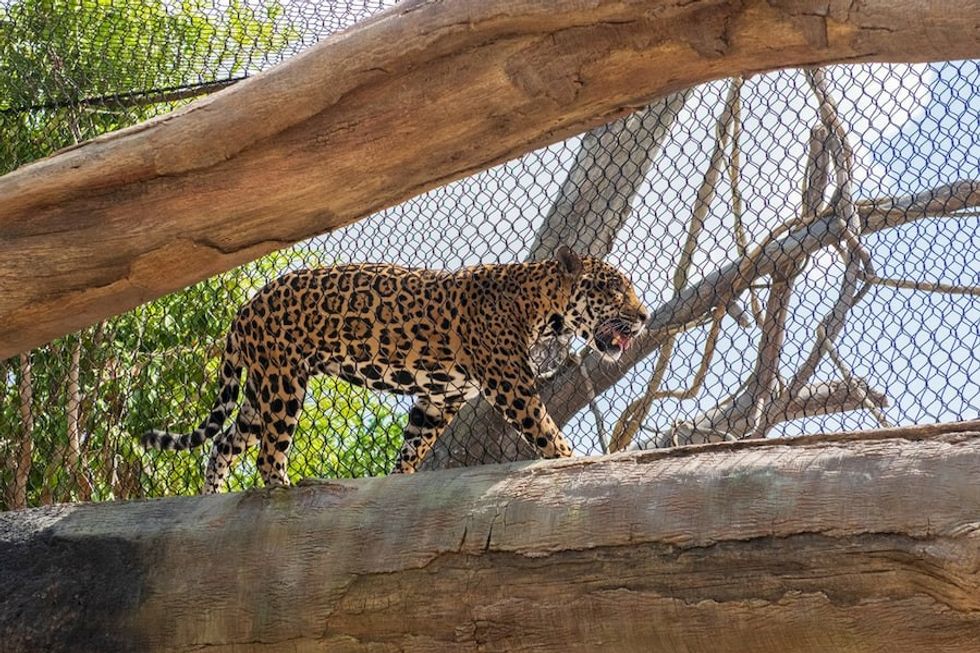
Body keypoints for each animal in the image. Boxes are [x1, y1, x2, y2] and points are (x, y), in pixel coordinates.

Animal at [141, 246, 649, 493]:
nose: (644, 316)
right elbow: (546, 431)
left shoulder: (439, 397)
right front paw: (574, 460)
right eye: (614, 288)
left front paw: (399, 479)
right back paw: (284, 491)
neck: (540, 307)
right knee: (267, 452)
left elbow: (414, 445)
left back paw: (212, 496)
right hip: (282, 382)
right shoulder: (511, 385)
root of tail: (244, 308)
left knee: (225, 442)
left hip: (260, 389)